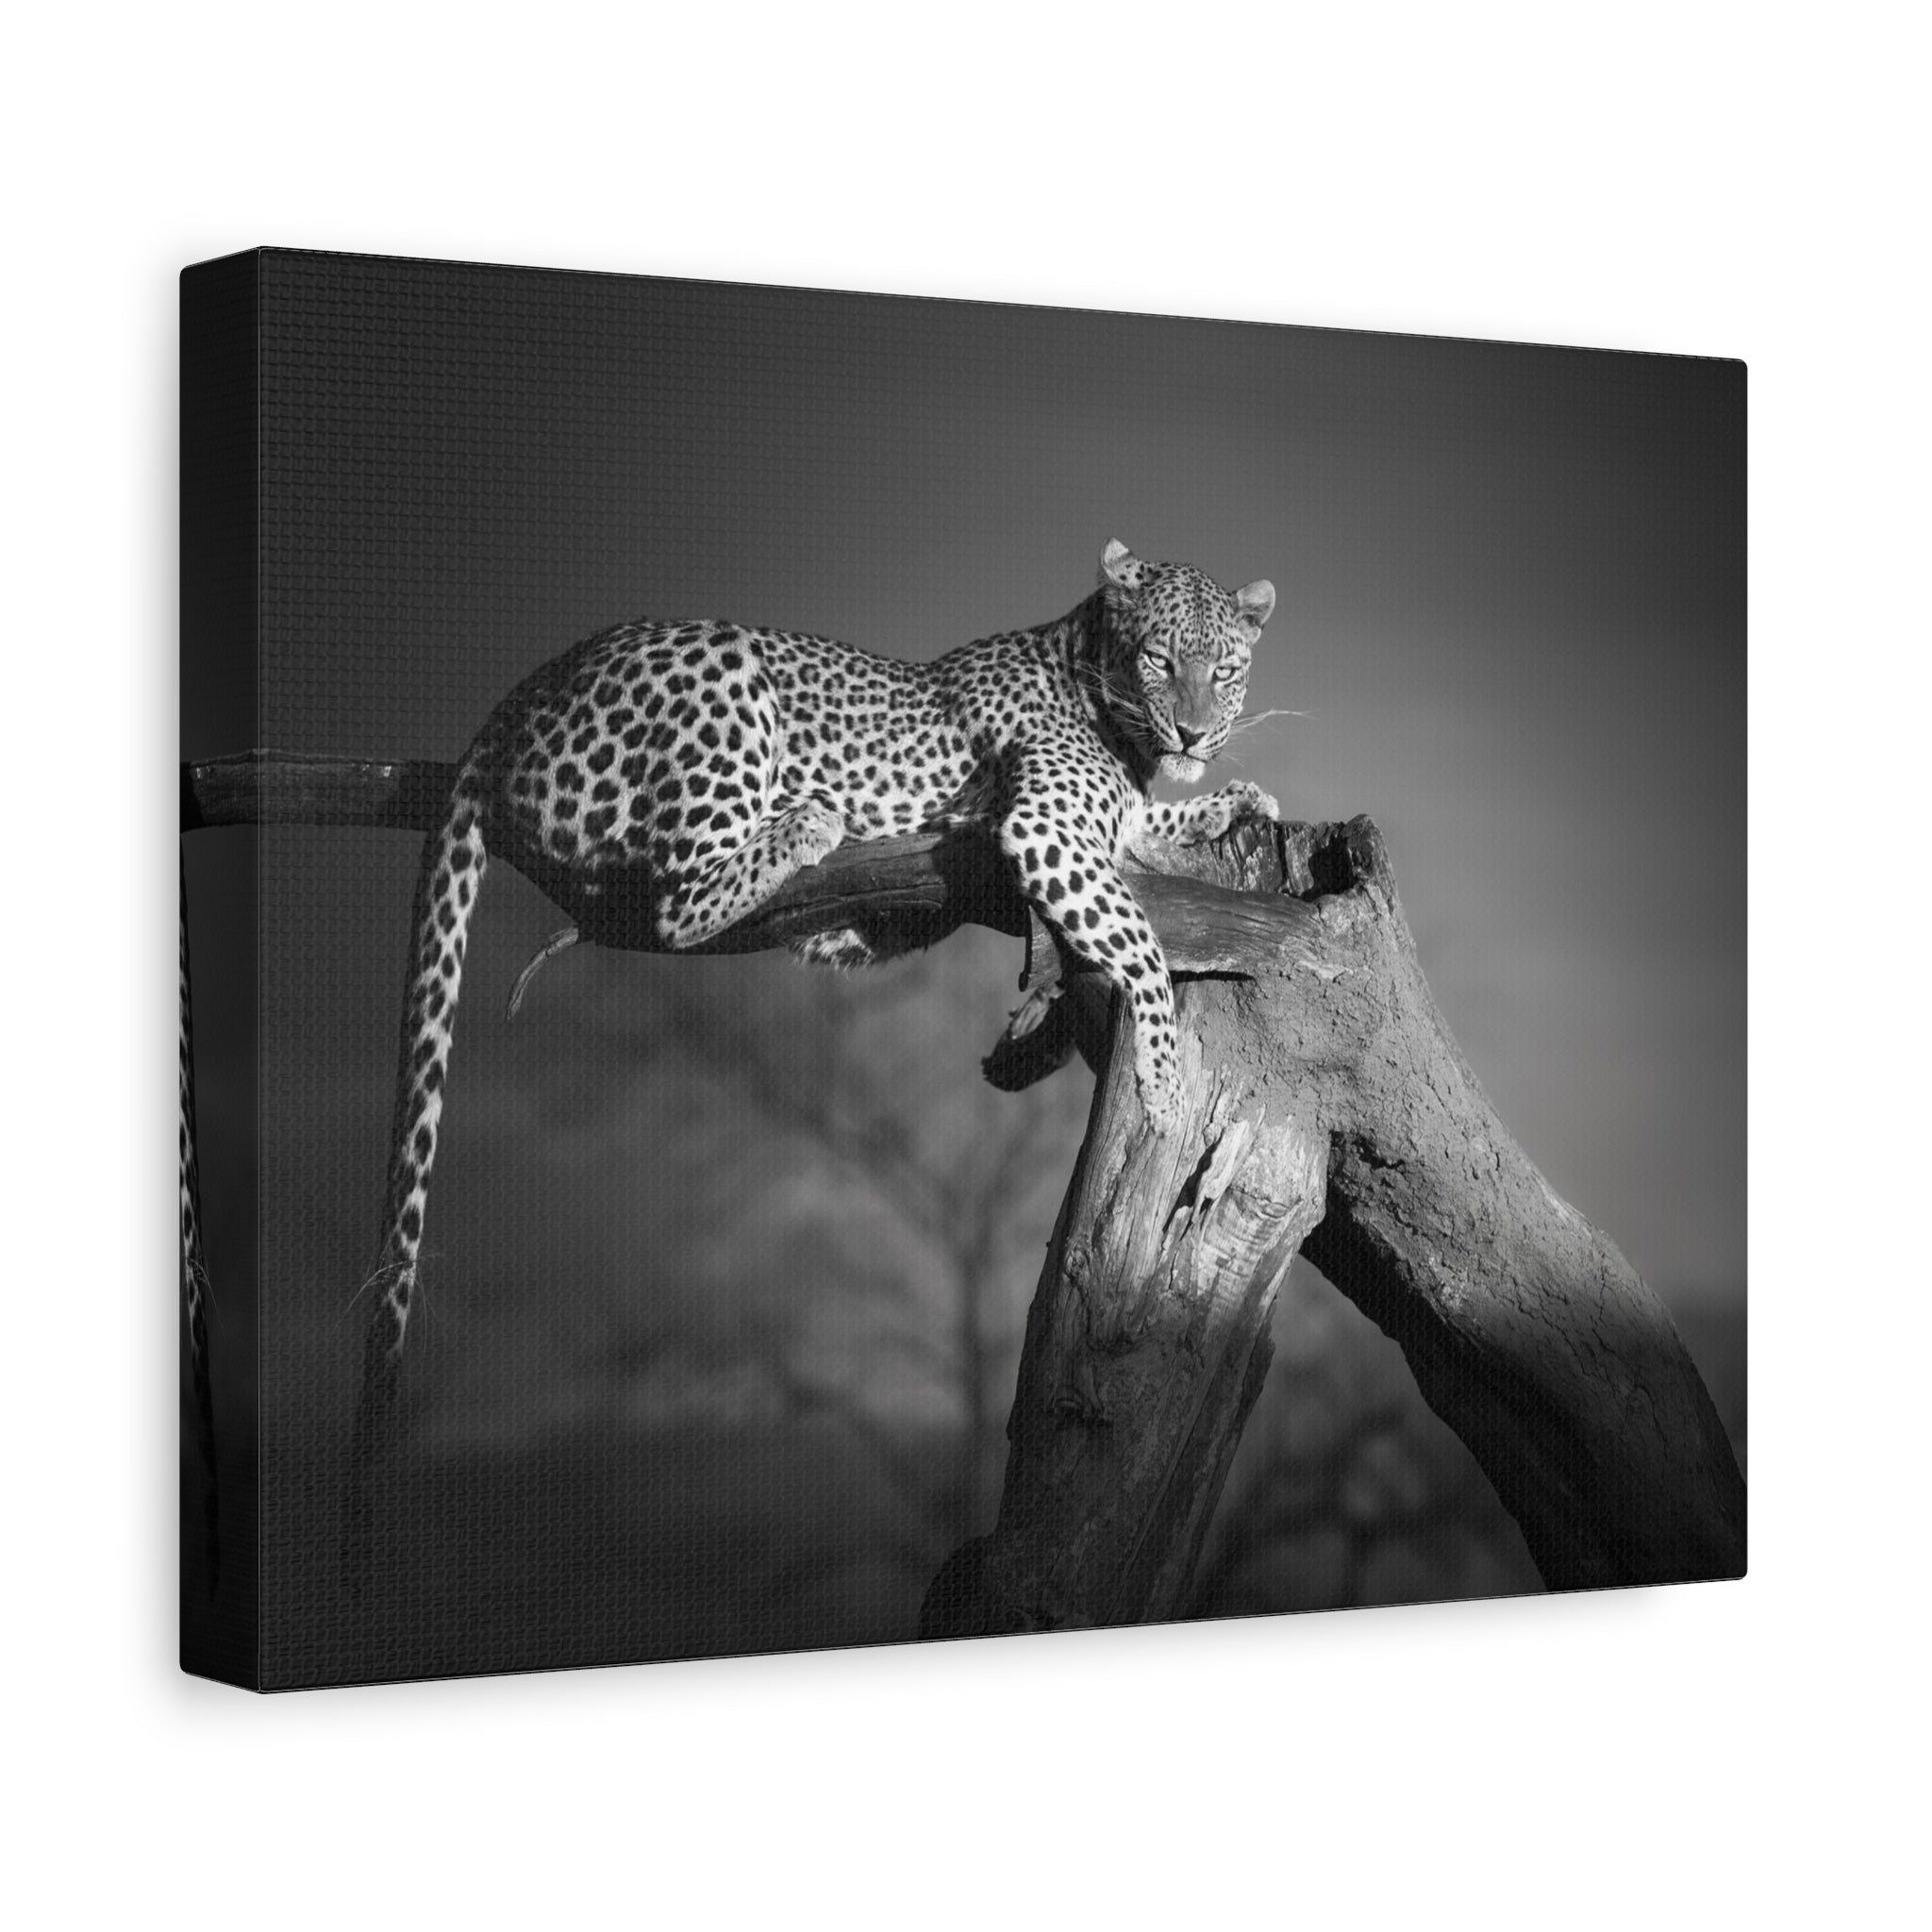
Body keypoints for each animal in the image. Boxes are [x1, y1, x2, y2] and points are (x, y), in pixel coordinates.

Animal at [350, 539, 1277, 1431]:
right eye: (1159, 659)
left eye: (1226, 670)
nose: (1192, 735)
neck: (1110, 708)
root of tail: (518, 697)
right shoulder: (1045, 828)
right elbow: (1142, 942)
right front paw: (1161, 1077)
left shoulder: (1090, 833)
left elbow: (1148, 834)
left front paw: (1233, 800)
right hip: (721, 678)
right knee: (675, 905)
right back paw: (807, 819)